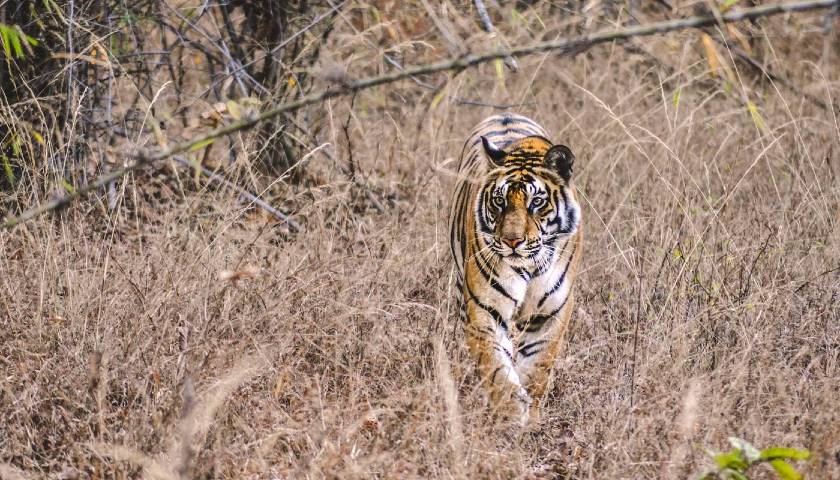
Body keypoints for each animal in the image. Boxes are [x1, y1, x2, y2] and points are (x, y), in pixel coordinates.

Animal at [450, 111, 580, 424]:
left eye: (537, 202)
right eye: (499, 201)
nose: (512, 241)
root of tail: (504, 113)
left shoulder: (550, 315)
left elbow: (537, 368)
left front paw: (530, 416)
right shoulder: (484, 311)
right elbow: (496, 368)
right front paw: (510, 412)